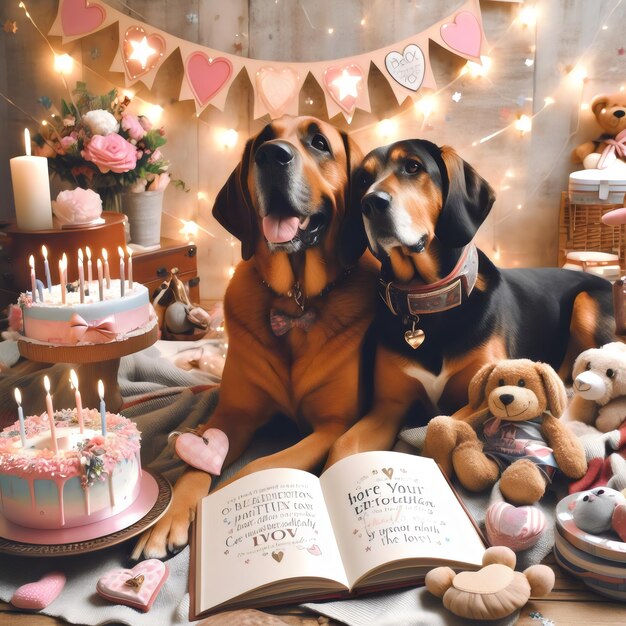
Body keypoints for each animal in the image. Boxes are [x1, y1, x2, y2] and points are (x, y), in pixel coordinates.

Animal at [133, 116, 376, 556]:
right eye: (264, 138)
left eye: (319, 143)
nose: (272, 155)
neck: (295, 300)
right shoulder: (234, 414)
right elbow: (196, 461)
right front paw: (172, 514)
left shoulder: (333, 426)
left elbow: (262, 466)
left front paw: (215, 504)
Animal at [326, 139, 616, 460]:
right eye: (363, 180)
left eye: (412, 166)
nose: (370, 203)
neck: (427, 298)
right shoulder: (387, 409)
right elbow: (342, 445)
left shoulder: (485, 395)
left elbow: (439, 425)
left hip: (586, 302)